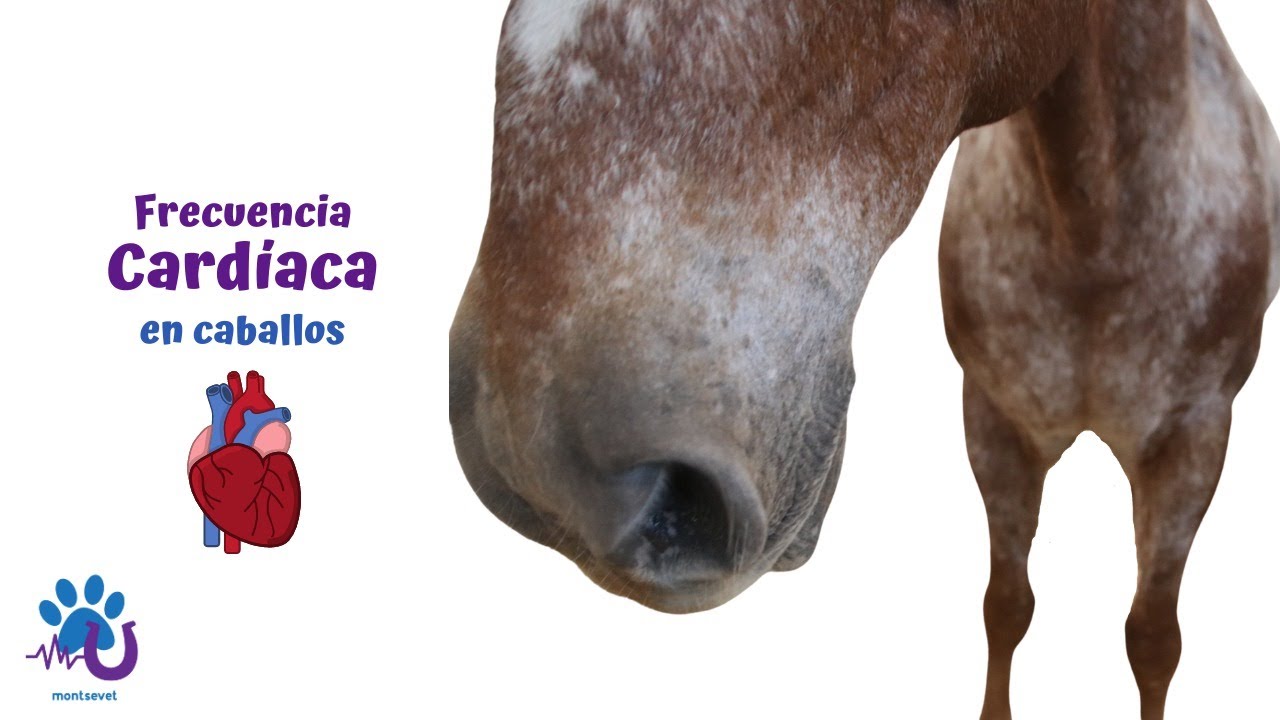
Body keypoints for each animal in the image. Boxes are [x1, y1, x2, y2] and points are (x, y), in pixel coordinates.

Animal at [449, 2, 1279, 718]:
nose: (532, 451)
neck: (1095, 242)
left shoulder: (1193, 446)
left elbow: (1153, 640)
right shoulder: (994, 423)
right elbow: (1006, 606)